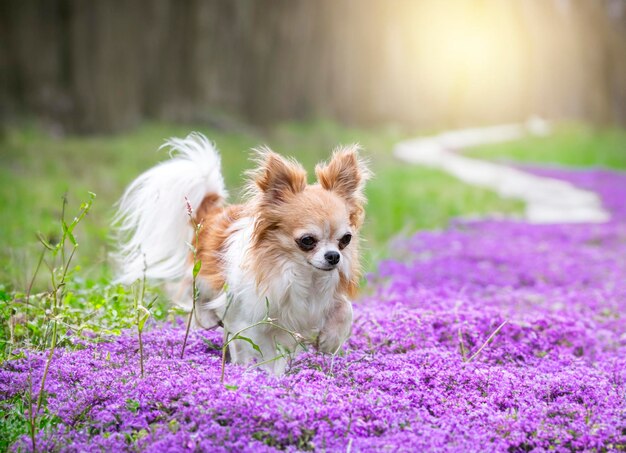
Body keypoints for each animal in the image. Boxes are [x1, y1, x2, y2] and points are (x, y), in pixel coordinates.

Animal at [112, 132, 368, 372]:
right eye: (307, 241)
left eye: (345, 240)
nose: (333, 257)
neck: (302, 273)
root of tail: (212, 212)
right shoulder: (258, 318)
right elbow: (268, 352)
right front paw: (271, 378)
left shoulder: (323, 299)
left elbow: (345, 309)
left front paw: (330, 340)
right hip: (208, 285)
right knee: (205, 309)